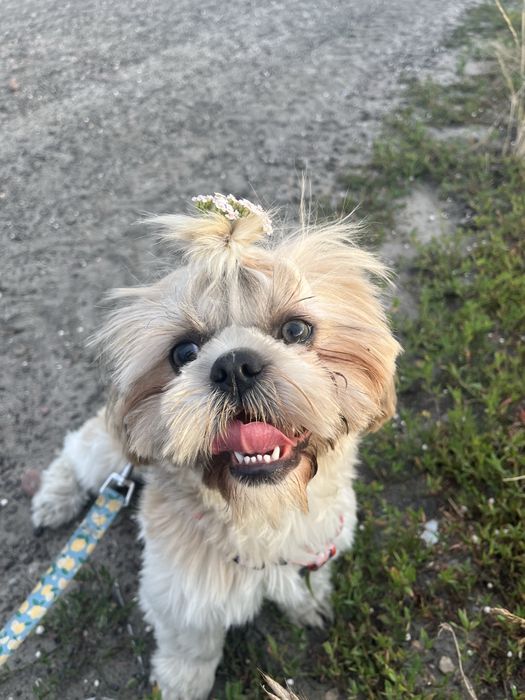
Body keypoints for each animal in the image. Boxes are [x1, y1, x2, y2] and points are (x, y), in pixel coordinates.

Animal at [31, 193, 401, 700]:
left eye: (296, 330)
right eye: (184, 352)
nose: (235, 366)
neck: (264, 517)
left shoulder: (317, 542)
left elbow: (306, 583)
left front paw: (309, 604)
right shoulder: (180, 596)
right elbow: (192, 648)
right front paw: (182, 684)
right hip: (107, 452)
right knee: (77, 451)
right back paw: (54, 499)